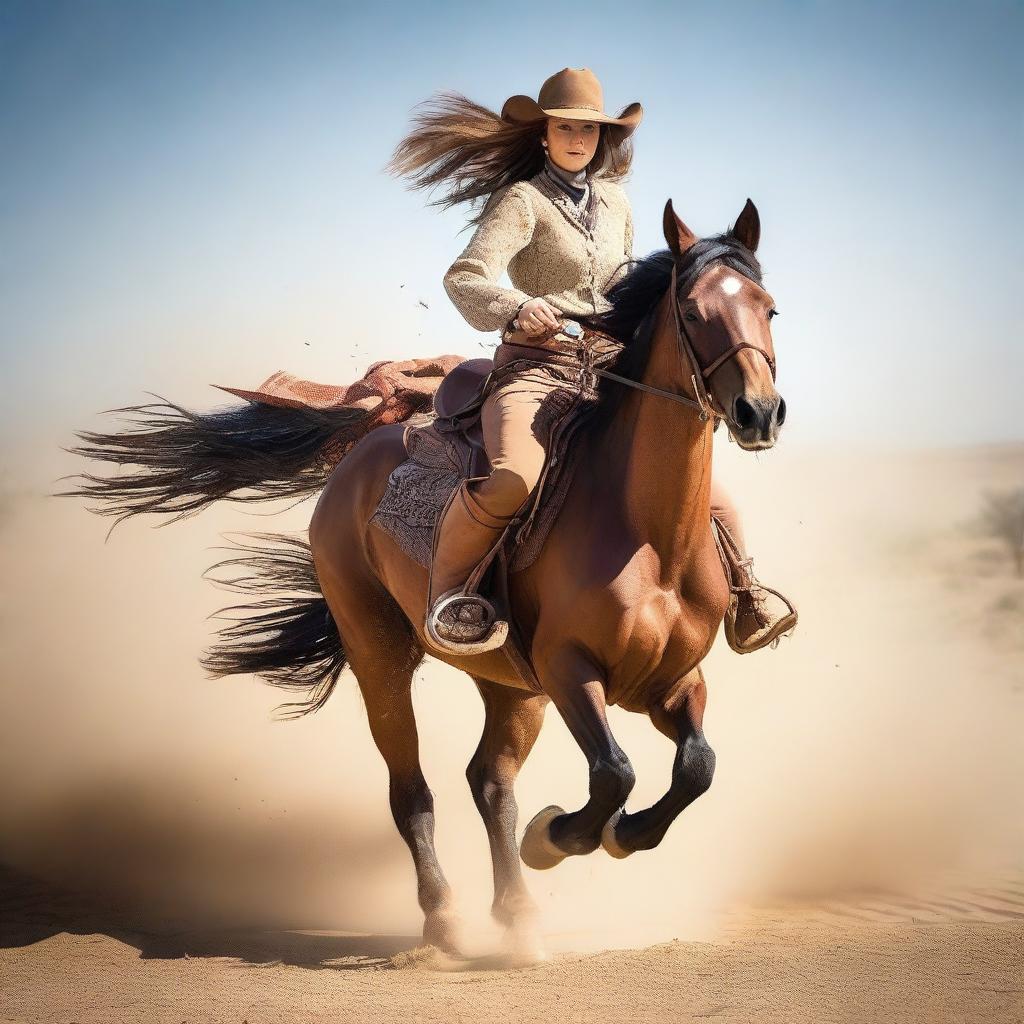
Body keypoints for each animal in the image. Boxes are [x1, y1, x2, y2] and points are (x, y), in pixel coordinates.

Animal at [64, 199, 782, 958]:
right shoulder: (570, 668)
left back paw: (518, 918)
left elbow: (696, 768)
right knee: (411, 790)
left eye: (769, 307)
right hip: (382, 657)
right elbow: (614, 773)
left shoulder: (672, 679)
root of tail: (362, 453)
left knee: (489, 781)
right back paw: (446, 920)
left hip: (511, 684)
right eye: (695, 311)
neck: (644, 535)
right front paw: (556, 836)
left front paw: (612, 836)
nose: (760, 412)